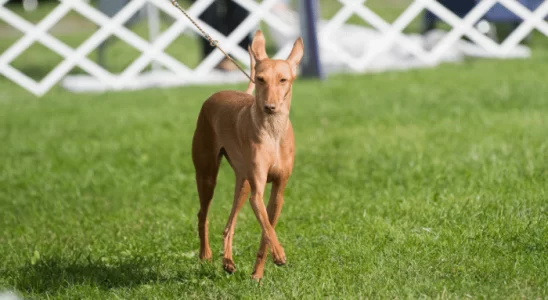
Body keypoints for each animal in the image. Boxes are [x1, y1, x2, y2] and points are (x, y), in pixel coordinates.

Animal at [191, 29, 304, 280]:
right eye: (260, 79)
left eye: (283, 80)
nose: (270, 107)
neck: (272, 132)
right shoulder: (257, 193)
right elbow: (268, 229)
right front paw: (279, 254)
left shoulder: (278, 193)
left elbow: (266, 233)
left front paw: (257, 275)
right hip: (207, 176)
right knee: (203, 215)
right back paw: (206, 255)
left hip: (243, 182)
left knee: (229, 225)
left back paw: (228, 261)